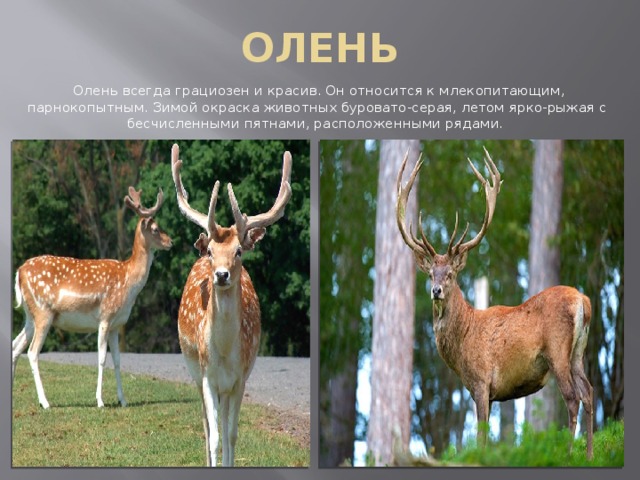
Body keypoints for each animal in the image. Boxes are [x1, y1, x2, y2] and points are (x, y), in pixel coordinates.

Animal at [12, 186, 172, 409]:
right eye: (156, 229)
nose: (170, 241)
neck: (128, 282)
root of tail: (20, 271)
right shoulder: (105, 317)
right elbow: (102, 359)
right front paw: (100, 401)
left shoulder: (116, 325)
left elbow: (118, 360)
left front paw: (123, 400)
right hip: (43, 312)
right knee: (32, 352)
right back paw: (45, 402)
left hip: (30, 315)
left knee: (15, 347)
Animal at [170, 144, 292, 467]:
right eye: (213, 251)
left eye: (238, 251)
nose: (221, 274)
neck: (224, 352)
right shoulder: (207, 377)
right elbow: (213, 437)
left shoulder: (240, 379)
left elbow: (232, 435)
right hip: (193, 369)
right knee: (206, 423)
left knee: (223, 424)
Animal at [395, 147, 593, 460]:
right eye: (430, 274)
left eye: (450, 274)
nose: (436, 291)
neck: (462, 343)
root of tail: (583, 301)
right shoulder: (490, 392)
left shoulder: (480, 382)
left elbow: (479, 438)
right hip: (578, 353)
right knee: (589, 392)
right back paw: (590, 455)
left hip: (557, 350)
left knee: (573, 397)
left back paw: (569, 453)